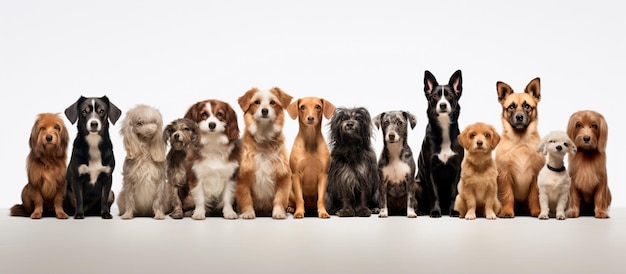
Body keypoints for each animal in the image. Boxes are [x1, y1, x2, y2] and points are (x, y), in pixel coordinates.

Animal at [235, 86, 294, 219]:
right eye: (257, 102)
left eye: (272, 102)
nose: (265, 111)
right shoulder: (243, 175)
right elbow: (245, 197)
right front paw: (248, 212)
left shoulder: (282, 175)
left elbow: (280, 197)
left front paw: (278, 212)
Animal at [414, 70, 464, 218]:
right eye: (435, 96)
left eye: (450, 96)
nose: (442, 105)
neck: (444, 127)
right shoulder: (430, 168)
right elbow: (433, 193)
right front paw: (435, 211)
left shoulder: (457, 168)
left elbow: (455, 192)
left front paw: (454, 211)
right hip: (418, 185)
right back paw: (423, 210)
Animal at [494, 78, 544, 217]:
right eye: (511, 106)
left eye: (527, 106)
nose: (519, 117)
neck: (520, 141)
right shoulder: (505, 175)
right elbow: (507, 195)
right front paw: (507, 211)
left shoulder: (535, 176)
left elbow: (534, 196)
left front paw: (537, 211)